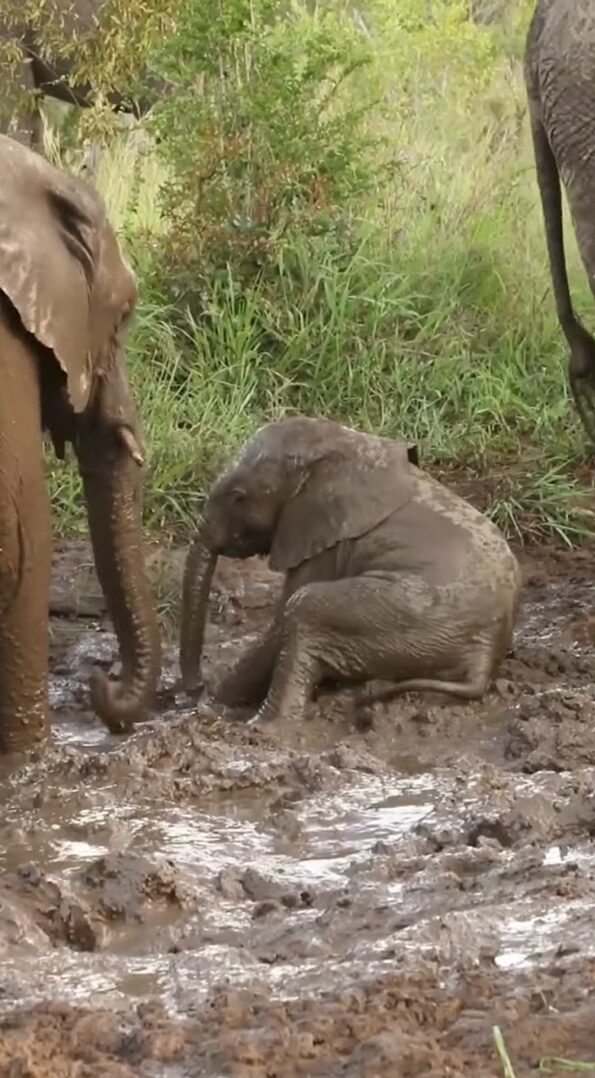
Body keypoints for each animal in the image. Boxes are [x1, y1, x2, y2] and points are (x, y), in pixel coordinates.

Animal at [180, 418, 521, 724]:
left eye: (238, 498)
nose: (194, 688)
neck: (340, 442)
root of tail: (486, 659)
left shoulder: (325, 539)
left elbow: (279, 622)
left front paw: (211, 704)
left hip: (405, 616)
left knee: (305, 606)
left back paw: (264, 727)